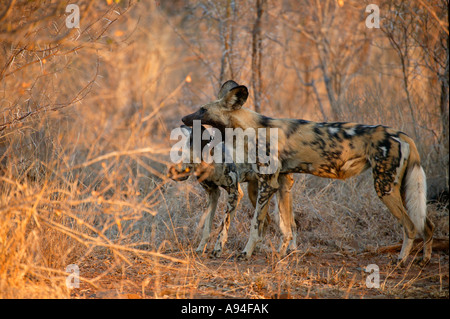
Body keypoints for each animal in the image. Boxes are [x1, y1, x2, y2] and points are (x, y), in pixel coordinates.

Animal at [167, 124, 298, 258]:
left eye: (187, 159)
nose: (171, 173)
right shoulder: (213, 194)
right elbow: (207, 227)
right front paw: (200, 249)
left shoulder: (234, 193)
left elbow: (224, 225)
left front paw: (218, 249)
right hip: (256, 193)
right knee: (271, 222)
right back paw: (260, 248)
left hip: (268, 192)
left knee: (285, 226)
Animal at [181, 80, 434, 268]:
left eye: (203, 110)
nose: (184, 118)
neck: (251, 128)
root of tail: (401, 134)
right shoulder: (283, 183)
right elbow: (288, 226)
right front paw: (285, 253)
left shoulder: (267, 185)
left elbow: (256, 225)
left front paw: (246, 253)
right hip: (400, 188)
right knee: (427, 225)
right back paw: (424, 259)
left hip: (384, 188)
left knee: (410, 226)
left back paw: (400, 260)